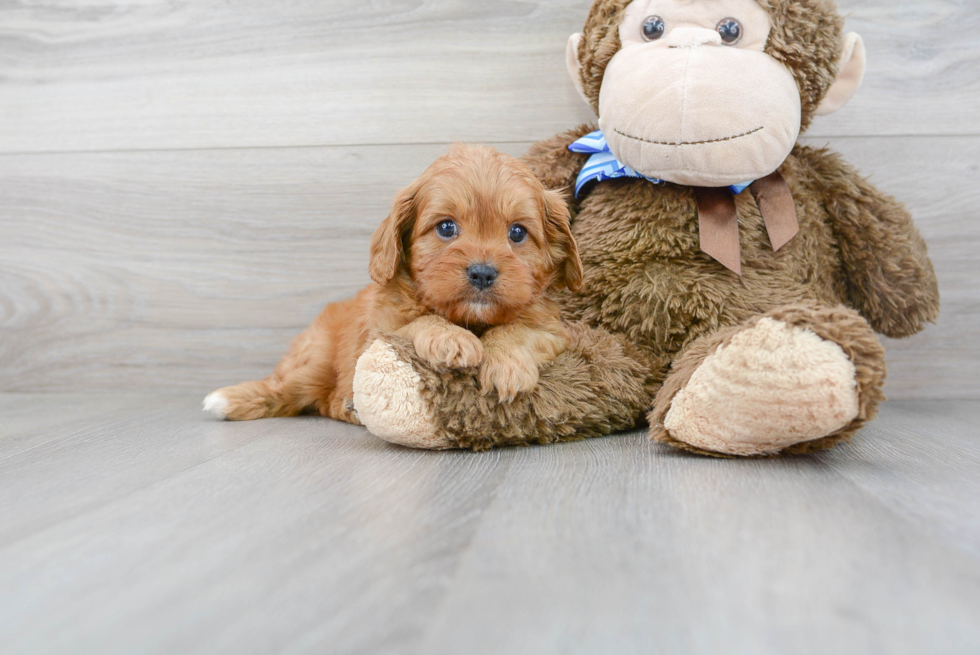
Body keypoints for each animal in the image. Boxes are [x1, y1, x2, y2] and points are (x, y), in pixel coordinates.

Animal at [202, 144, 580, 422]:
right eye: (446, 227)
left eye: (517, 233)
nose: (483, 273)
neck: (470, 319)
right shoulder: (382, 331)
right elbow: (420, 321)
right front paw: (451, 340)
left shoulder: (552, 330)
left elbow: (516, 330)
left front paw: (506, 367)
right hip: (315, 358)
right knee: (287, 389)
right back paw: (228, 400)